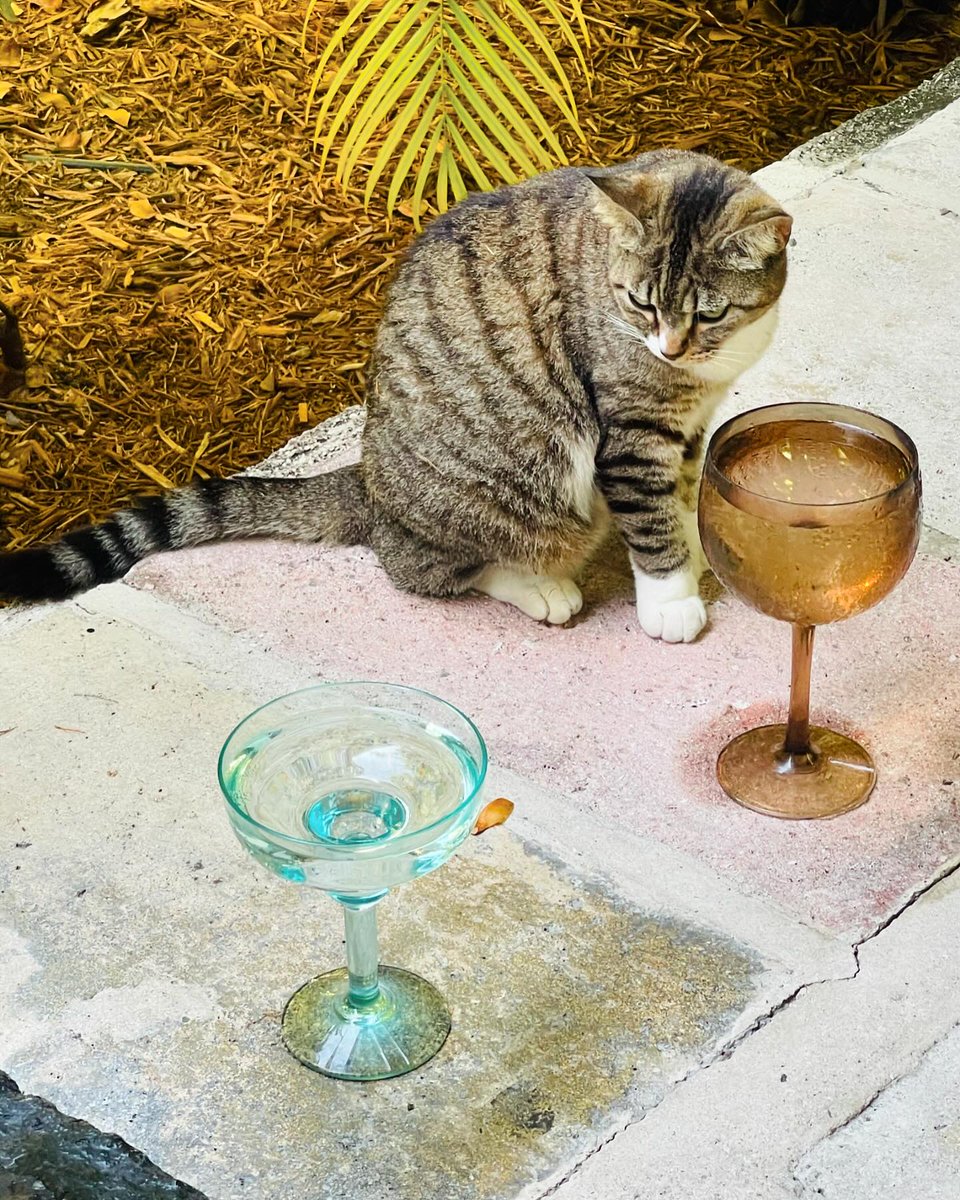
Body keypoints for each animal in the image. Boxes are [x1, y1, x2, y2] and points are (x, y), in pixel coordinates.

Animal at [0, 153, 792, 643]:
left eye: (709, 312)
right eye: (637, 302)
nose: (669, 349)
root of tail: (370, 483)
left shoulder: (690, 422)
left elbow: (680, 495)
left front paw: (692, 547)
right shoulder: (631, 429)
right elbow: (650, 522)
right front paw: (672, 600)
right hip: (511, 486)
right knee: (424, 565)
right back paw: (538, 586)